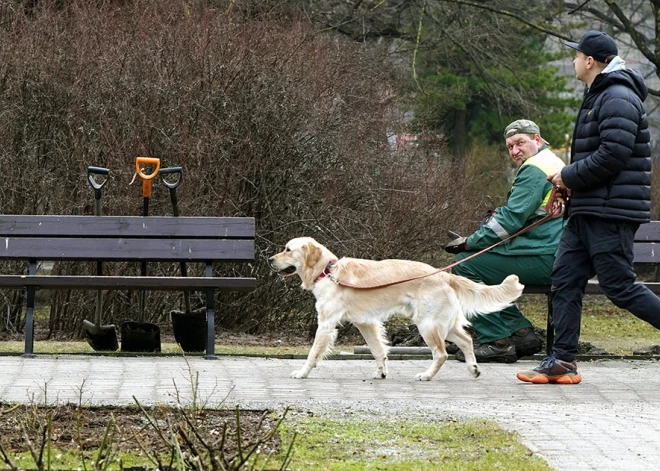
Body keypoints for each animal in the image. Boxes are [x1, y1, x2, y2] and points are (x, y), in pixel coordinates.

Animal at [266, 238, 520, 382]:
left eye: (288, 249)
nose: (269, 259)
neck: (328, 271)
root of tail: (444, 275)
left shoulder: (326, 323)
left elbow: (312, 354)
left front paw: (302, 373)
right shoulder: (365, 323)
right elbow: (378, 350)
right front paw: (381, 373)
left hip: (427, 325)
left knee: (441, 354)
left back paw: (426, 375)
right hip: (443, 325)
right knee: (467, 340)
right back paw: (474, 369)